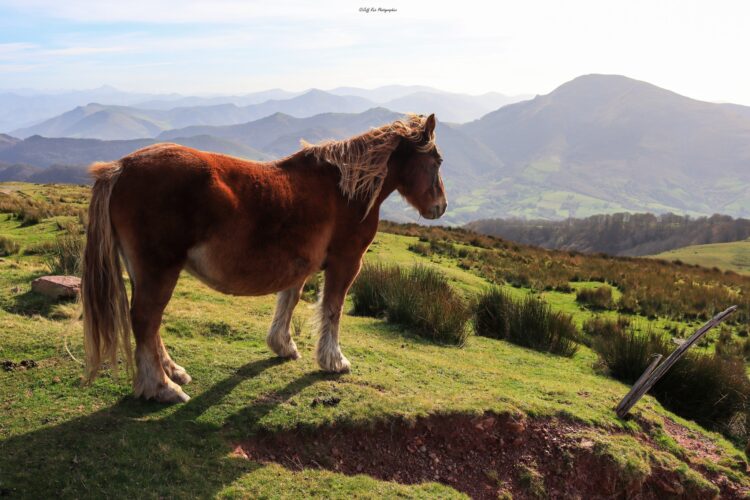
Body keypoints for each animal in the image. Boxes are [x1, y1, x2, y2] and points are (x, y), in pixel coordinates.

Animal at [81, 112, 446, 402]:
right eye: (437, 161)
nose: (440, 207)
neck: (345, 189)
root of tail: (120, 167)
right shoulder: (346, 262)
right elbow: (333, 309)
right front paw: (334, 361)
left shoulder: (300, 264)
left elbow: (289, 300)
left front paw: (283, 345)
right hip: (159, 270)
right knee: (145, 319)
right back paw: (162, 387)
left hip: (145, 272)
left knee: (151, 323)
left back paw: (174, 372)